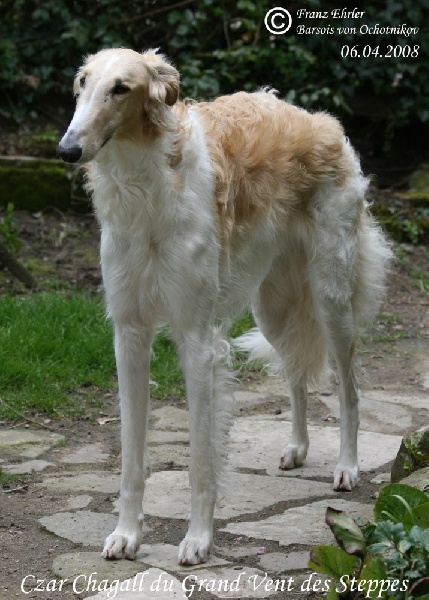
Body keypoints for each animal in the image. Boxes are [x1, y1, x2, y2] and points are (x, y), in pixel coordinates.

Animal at [57, 48, 392, 568]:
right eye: (81, 84)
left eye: (121, 88)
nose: (67, 149)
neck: (146, 188)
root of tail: (320, 120)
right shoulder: (129, 333)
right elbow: (131, 457)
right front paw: (126, 535)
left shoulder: (197, 340)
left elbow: (200, 460)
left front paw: (198, 540)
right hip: (273, 307)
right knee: (295, 373)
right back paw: (297, 447)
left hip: (331, 298)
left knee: (350, 389)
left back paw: (347, 467)